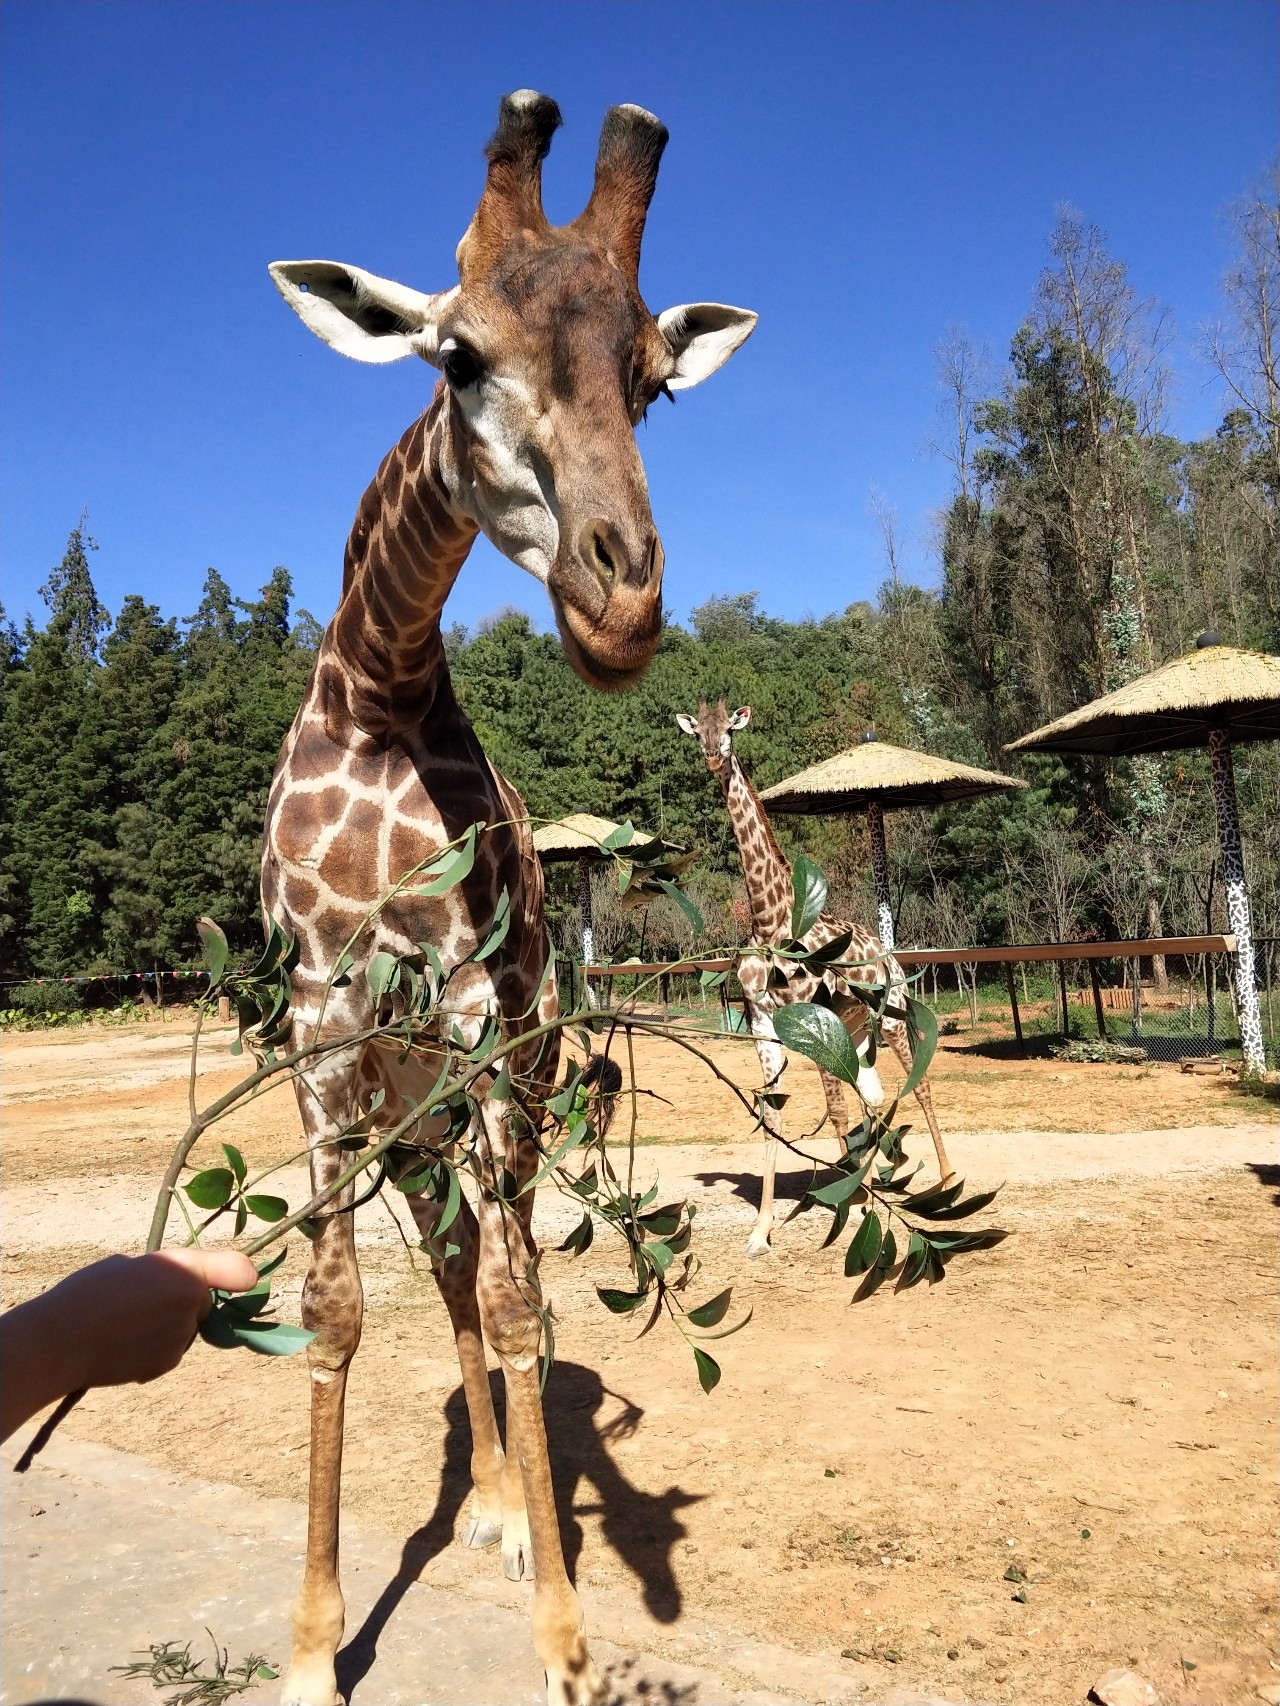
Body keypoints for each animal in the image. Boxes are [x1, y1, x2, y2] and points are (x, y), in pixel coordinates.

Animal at [264, 96, 757, 1706]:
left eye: (654, 382)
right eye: (457, 357)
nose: (624, 603)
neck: (378, 688)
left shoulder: (488, 1020)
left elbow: (525, 1306)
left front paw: (566, 1637)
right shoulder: (322, 1025)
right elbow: (336, 1307)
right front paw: (310, 1647)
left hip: (496, 1089)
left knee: (490, 1265)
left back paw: (501, 1515)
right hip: (409, 1111)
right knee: (447, 1259)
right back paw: (480, 1499)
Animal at [675, 699, 955, 1262]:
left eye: (730, 731)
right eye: (699, 734)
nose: (714, 757)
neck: (770, 920)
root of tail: (892, 958)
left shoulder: (814, 1013)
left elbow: (836, 1109)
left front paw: (852, 1208)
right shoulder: (762, 1025)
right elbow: (773, 1116)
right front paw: (760, 1233)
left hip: (891, 1018)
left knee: (918, 1085)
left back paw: (947, 1177)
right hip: (856, 1030)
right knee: (873, 1093)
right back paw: (883, 1176)